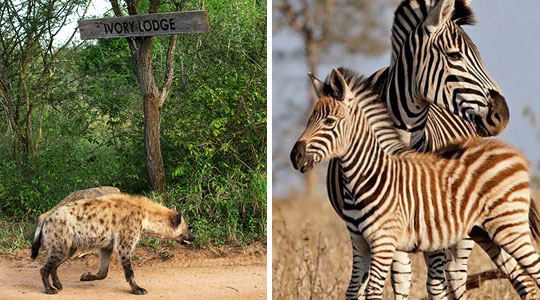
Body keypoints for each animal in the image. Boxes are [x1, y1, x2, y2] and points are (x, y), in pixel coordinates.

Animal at [300, 0, 536, 300]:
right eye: (454, 55)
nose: (501, 115)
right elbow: (399, 281)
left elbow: (435, 285)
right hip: (481, 228)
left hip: (470, 230)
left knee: (457, 277)